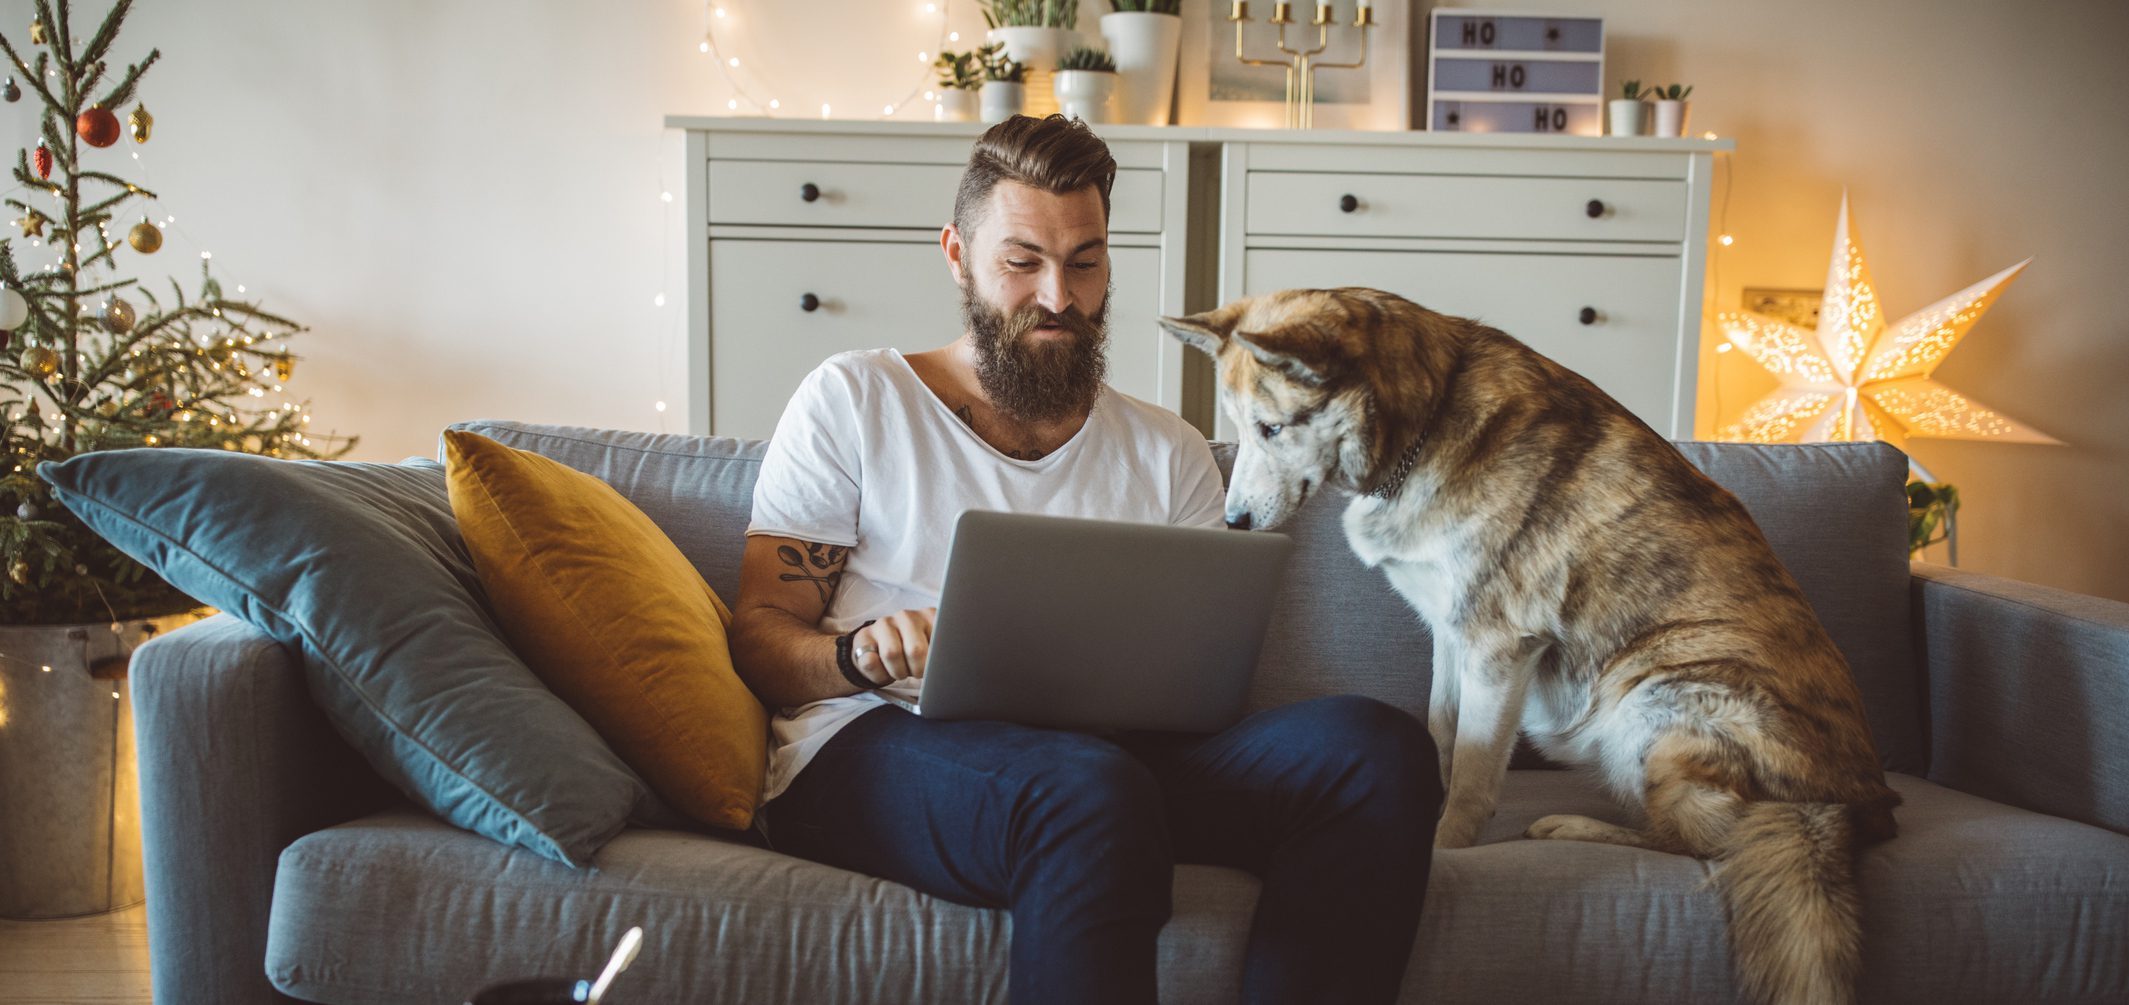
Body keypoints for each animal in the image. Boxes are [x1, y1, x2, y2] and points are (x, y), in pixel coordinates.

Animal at [1175, 285, 1907, 1004]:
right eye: (1238, 429)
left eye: (1272, 428)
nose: (1234, 523)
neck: (1426, 420)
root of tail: (1849, 807)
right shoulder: (1451, 635)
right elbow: (1442, 736)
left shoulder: (1498, 646)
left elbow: (1473, 775)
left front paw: (1444, 847)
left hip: (1653, 697)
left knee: (1702, 844)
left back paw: (1572, 826)